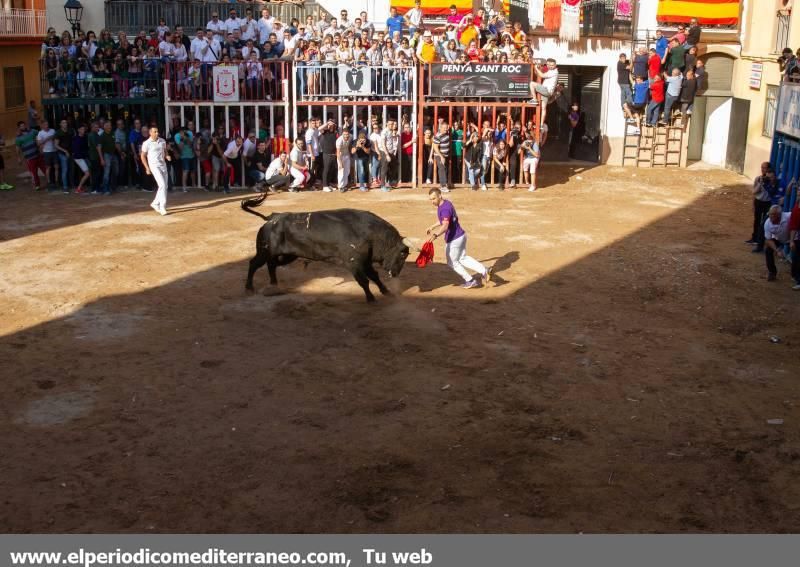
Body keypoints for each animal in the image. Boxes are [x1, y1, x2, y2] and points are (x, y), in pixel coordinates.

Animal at [241, 194, 416, 304]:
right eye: (402, 255)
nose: (395, 274)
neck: (370, 233)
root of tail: (271, 218)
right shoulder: (354, 263)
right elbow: (364, 281)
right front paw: (371, 298)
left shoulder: (365, 262)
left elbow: (374, 276)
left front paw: (386, 292)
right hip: (264, 252)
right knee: (254, 264)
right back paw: (249, 288)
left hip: (287, 255)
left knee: (272, 265)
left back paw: (274, 285)